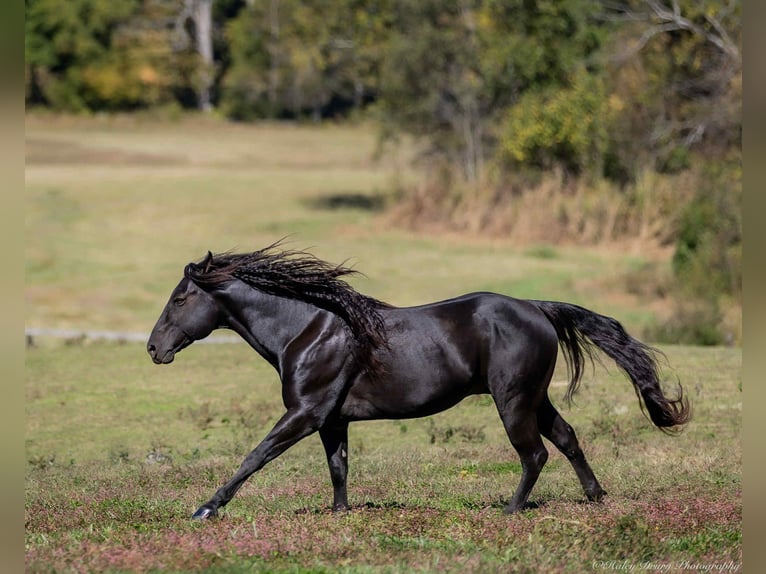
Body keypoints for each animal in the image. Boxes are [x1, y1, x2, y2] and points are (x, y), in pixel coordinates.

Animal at [147, 241, 690, 520]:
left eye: (180, 298)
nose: (154, 349)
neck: (306, 329)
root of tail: (537, 308)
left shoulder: (304, 413)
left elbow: (255, 456)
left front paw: (206, 509)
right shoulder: (332, 419)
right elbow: (338, 467)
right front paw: (341, 514)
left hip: (512, 399)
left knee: (534, 453)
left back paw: (510, 510)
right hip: (536, 398)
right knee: (568, 439)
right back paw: (595, 497)